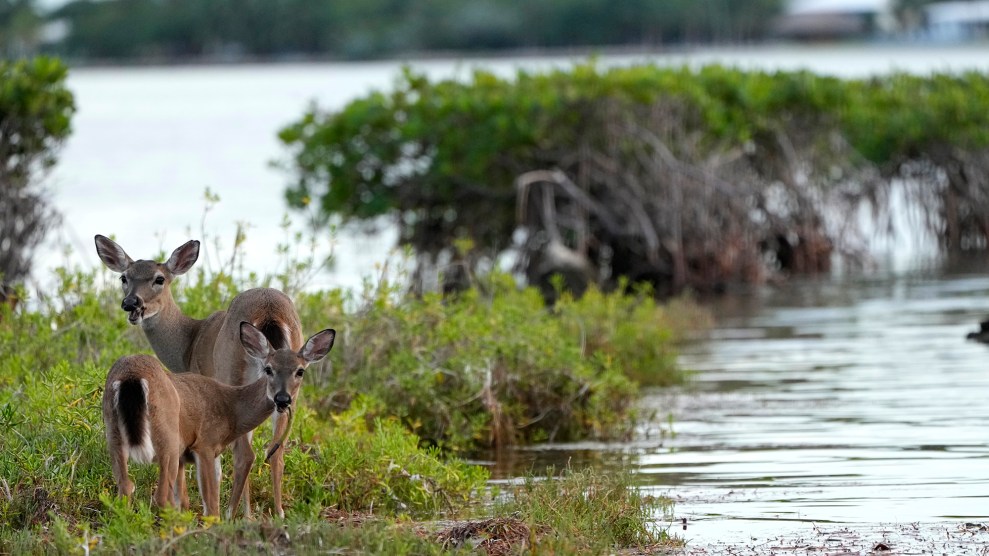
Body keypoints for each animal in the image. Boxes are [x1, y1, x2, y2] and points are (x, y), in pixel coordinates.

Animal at [94, 234, 308, 518]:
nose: (131, 304)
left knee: (245, 454)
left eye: (159, 279)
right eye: (124, 277)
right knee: (276, 449)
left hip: (233, 372)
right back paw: (277, 513)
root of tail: (270, 311)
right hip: (289, 387)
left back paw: (235, 514)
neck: (189, 342)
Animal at [103, 322, 335, 516]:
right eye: (268, 369)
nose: (282, 399)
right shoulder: (205, 444)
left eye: (300, 371)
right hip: (167, 438)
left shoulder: (189, 456)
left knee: (126, 487)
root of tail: (131, 377)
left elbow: (185, 501)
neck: (231, 409)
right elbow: (211, 506)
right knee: (161, 496)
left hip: (113, 433)